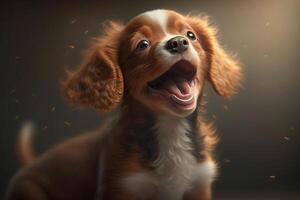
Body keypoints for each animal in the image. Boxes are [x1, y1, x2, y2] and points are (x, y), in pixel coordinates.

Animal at [5, 9, 243, 200]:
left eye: (190, 35)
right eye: (142, 44)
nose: (178, 42)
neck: (170, 127)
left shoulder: (198, 184)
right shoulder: (122, 186)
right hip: (29, 190)